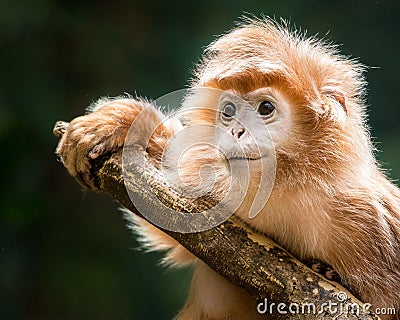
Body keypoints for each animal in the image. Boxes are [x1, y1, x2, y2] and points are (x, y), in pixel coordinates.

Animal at [55, 18, 400, 320]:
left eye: (265, 108)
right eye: (229, 111)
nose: (235, 131)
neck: (287, 190)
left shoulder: (368, 216)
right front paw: (121, 123)